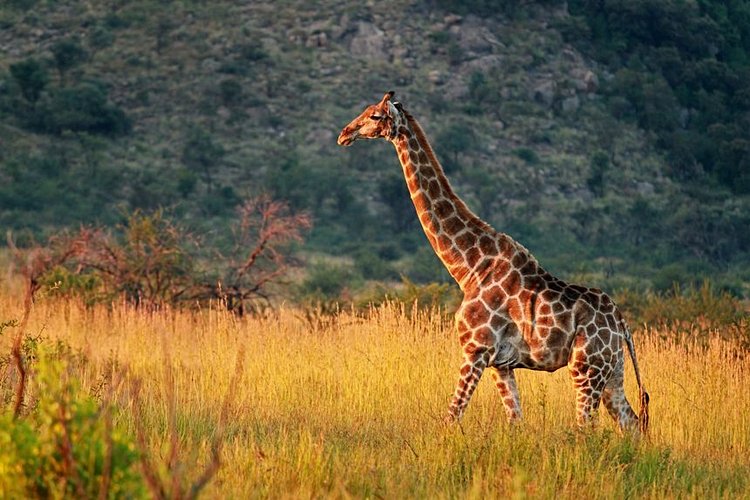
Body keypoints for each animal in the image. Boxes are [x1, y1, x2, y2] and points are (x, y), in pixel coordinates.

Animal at [338, 92, 648, 432]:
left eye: (375, 115)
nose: (345, 133)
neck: (470, 267)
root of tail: (621, 323)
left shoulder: (476, 348)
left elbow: (452, 415)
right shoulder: (501, 363)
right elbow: (515, 420)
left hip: (586, 368)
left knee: (587, 427)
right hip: (612, 372)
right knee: (633, 423)